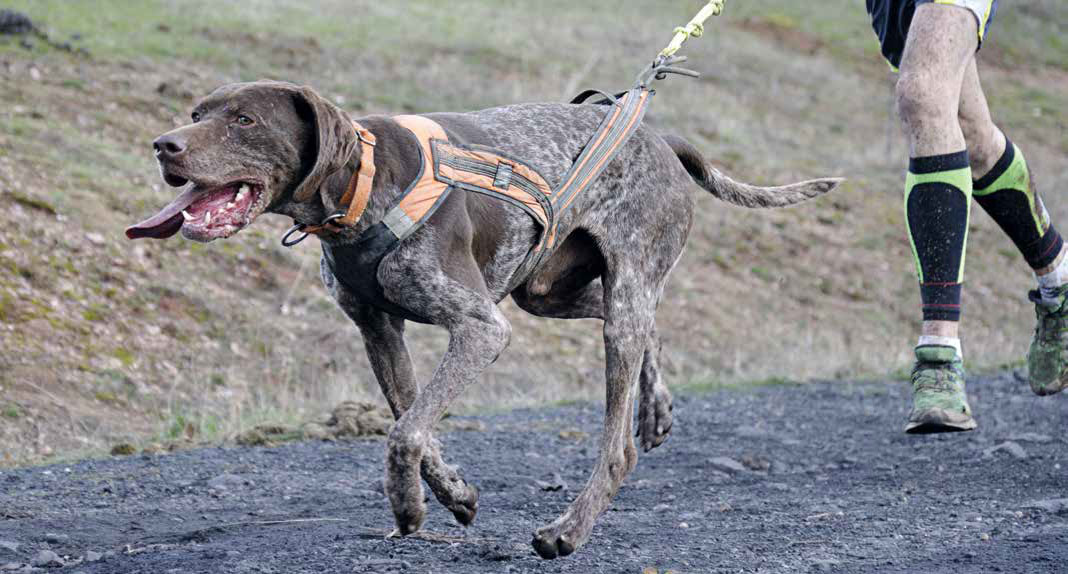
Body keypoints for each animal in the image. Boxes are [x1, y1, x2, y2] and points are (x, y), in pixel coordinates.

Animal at [127, 79, 841, 555]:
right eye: (196, 114)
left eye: (245, 120)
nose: (164, 145)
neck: (362, 185)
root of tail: (655, 136)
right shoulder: (379, 330)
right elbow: (414, 421)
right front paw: (453, 495)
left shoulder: (479, 329)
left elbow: (406, 432)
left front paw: (409, 507)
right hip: (551, 289)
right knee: (648, 333)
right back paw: (657, 406)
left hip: (610, 296)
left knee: (617, 445)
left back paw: (568, 531)